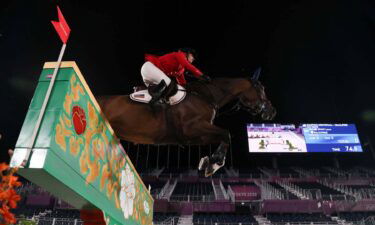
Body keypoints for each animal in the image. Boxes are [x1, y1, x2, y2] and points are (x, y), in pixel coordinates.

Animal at [97, 76, 276, 177]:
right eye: (261, 88)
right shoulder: (192, 128)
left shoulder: (195, 136)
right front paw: (214, 163)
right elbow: (226, 134)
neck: (205, 96)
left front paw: (209, 161)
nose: (271, 112)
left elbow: (223, 136)